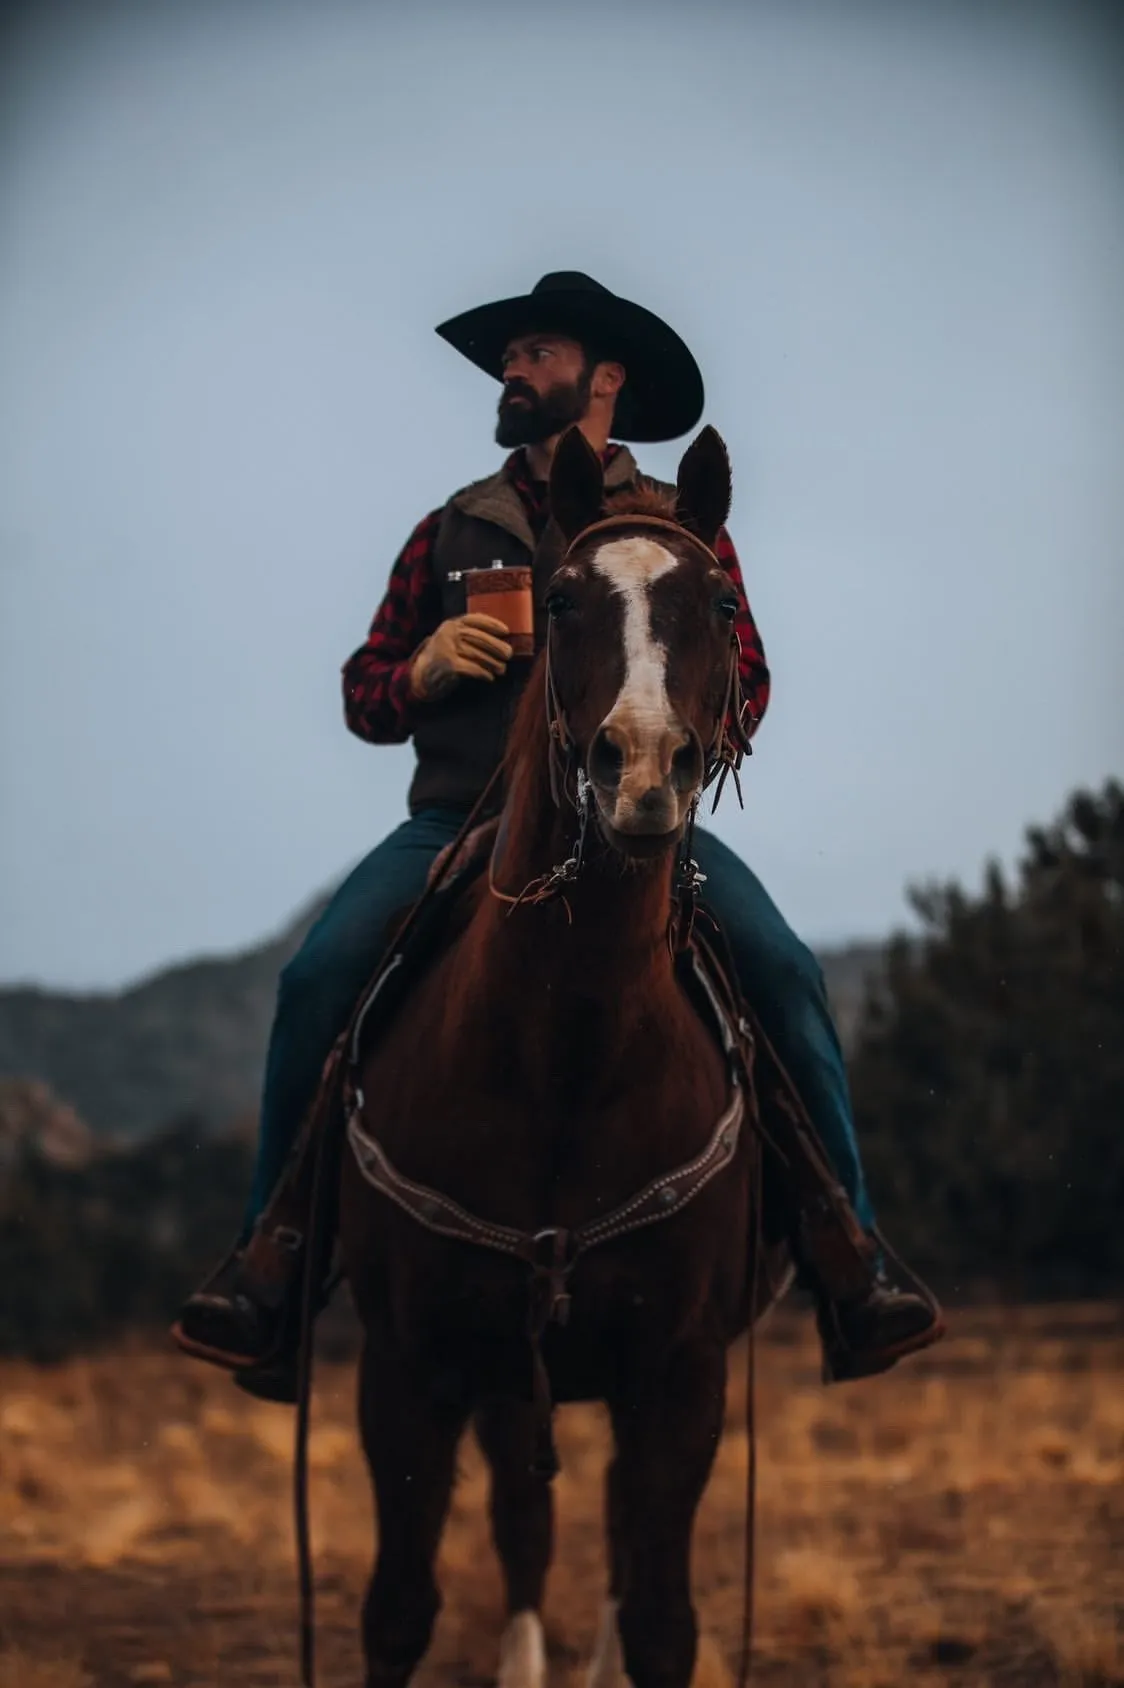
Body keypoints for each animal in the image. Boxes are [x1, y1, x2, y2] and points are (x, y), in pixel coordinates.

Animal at [337, 425, 783, 1688]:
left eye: (719, 598)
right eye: (559, 599)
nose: (641, 765)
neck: (563, 1054)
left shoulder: (678, 1373)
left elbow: (663, 1615)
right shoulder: (408, 1366)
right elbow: (398, 1607)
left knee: (619, 1544)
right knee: (526, 1526)